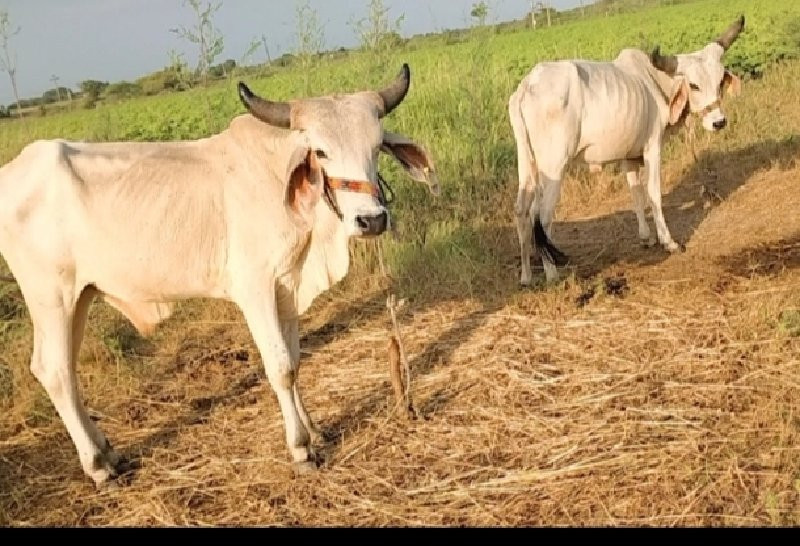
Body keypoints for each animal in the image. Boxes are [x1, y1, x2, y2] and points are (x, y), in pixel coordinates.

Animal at [0, 63, 438, 484]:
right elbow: (280, 367)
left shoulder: (287, 287)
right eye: (321, 152)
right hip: (51, 296)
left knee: (68, 372)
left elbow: (295, 360)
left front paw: (314, 431)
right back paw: (97, 467)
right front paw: (300, 450)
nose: (371, 220)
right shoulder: (255, 288)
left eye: (376, 147)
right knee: (54, 371)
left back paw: (109, 453)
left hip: (80, 296)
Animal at [510, 15, 748, 284]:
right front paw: (668, 242)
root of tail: (527, 86)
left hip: (527, 164)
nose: (719, 122)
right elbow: (653, 193)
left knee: (521, 211)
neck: (654, 81)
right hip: (554, 166)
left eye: (719, 83)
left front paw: (646, 237)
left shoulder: (629, 156)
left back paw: (526, 276)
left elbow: (636, 193)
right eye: (694, 85)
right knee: (541, 216)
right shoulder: (652, 147)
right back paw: (552, 275)